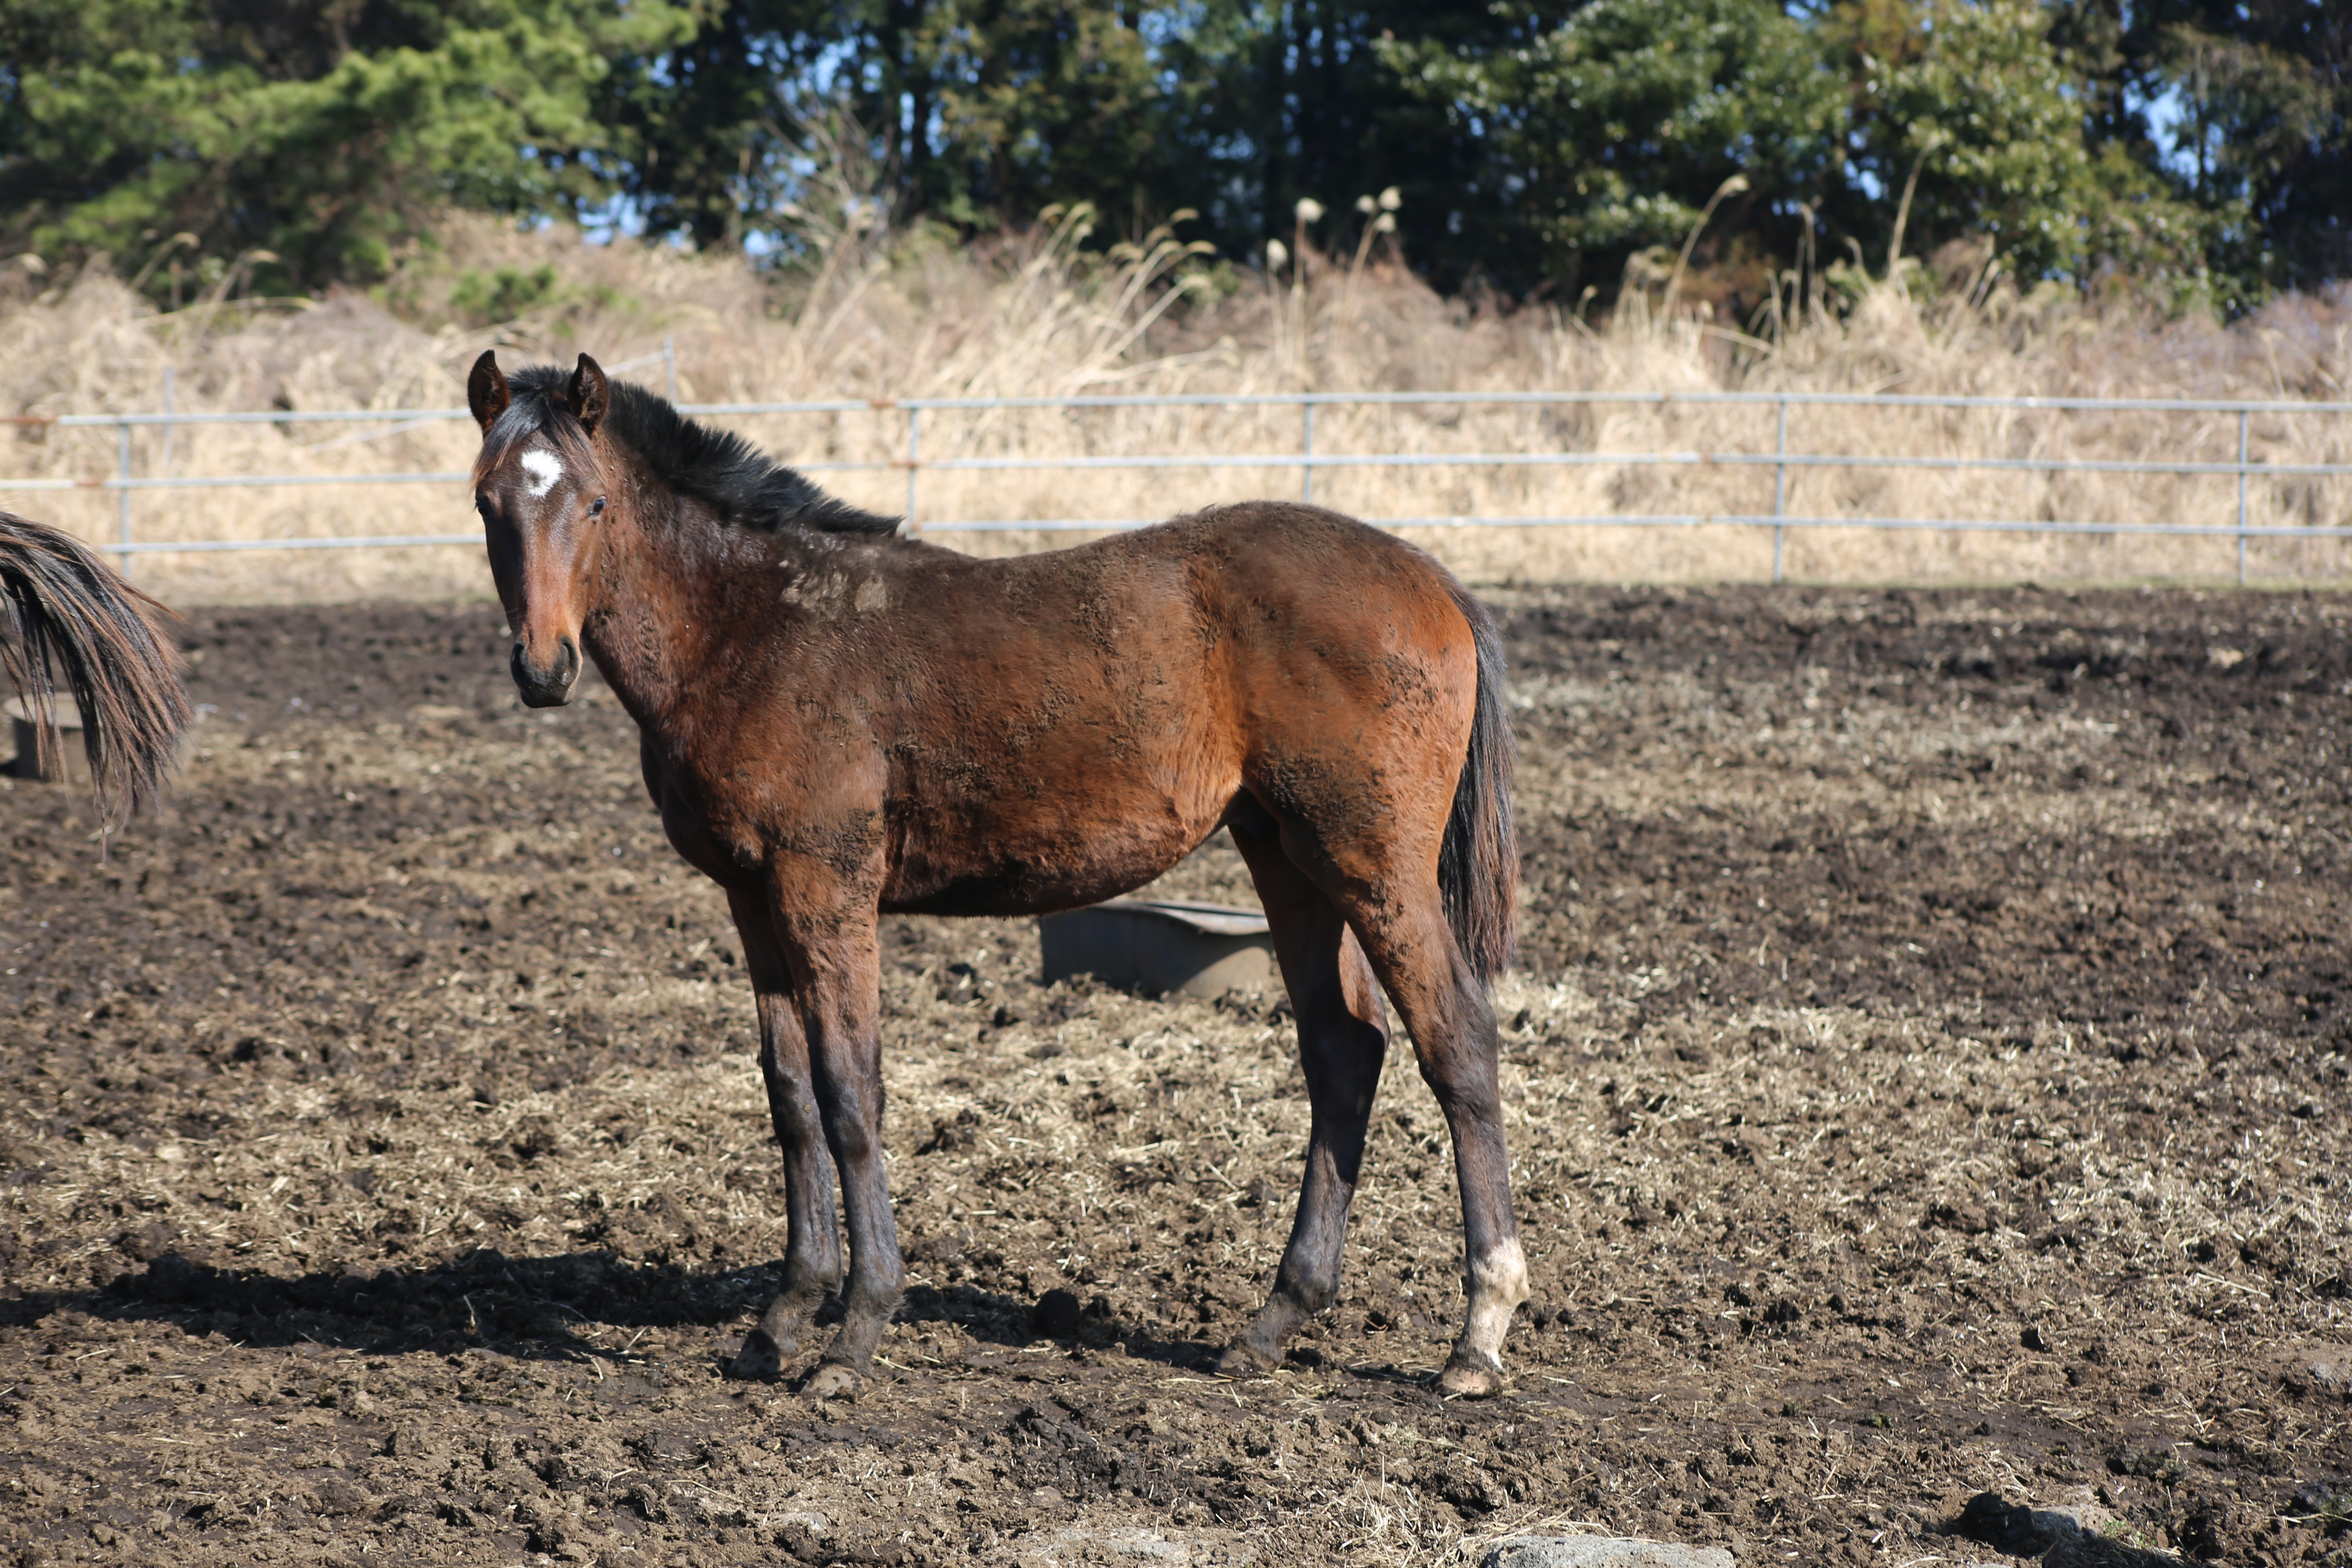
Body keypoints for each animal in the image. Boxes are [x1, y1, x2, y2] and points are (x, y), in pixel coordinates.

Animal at [463, 355, 1524, 1401]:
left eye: (596, 503)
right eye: (486, 501)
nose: (543, 668)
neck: (752, 628)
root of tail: (1436, 585)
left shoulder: (825, 885)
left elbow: (850, 1093)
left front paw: (853, 1336)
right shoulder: (752, 898)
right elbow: (791, 1097)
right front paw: (779, 1322)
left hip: (1373, 863)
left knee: (1457, 1046)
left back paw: (1478, 1336)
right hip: (1289, 856)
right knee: (1343, 1051)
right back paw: (1272, 1323)